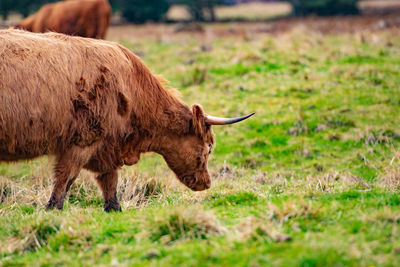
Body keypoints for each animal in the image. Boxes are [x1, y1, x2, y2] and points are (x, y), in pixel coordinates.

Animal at [0, 29, 253, 213]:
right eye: (208, 148)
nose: (206, 183)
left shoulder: (107, 147)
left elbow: (109, 181)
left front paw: (114, 209)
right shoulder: (83, 141)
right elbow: (66, 178)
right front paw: (53, 209)